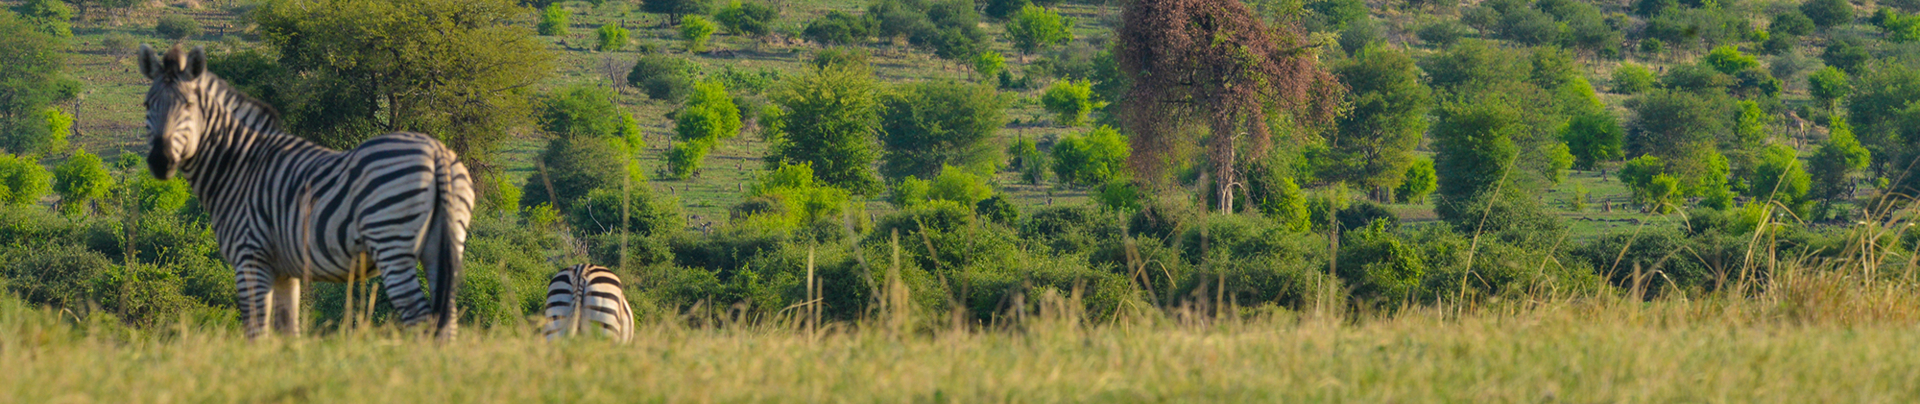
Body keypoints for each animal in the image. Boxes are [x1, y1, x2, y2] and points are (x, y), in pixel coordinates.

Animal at [138, 44, 474, 339]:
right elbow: (289, 331)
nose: (160, 161)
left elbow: (256, 332)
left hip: (391, 238)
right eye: (147, 105)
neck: (238, 165)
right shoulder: (285, 270)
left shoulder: (250, 256)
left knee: (419, 317)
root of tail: (436, 151)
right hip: (444, 244)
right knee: (447, 320)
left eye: (188, 106)